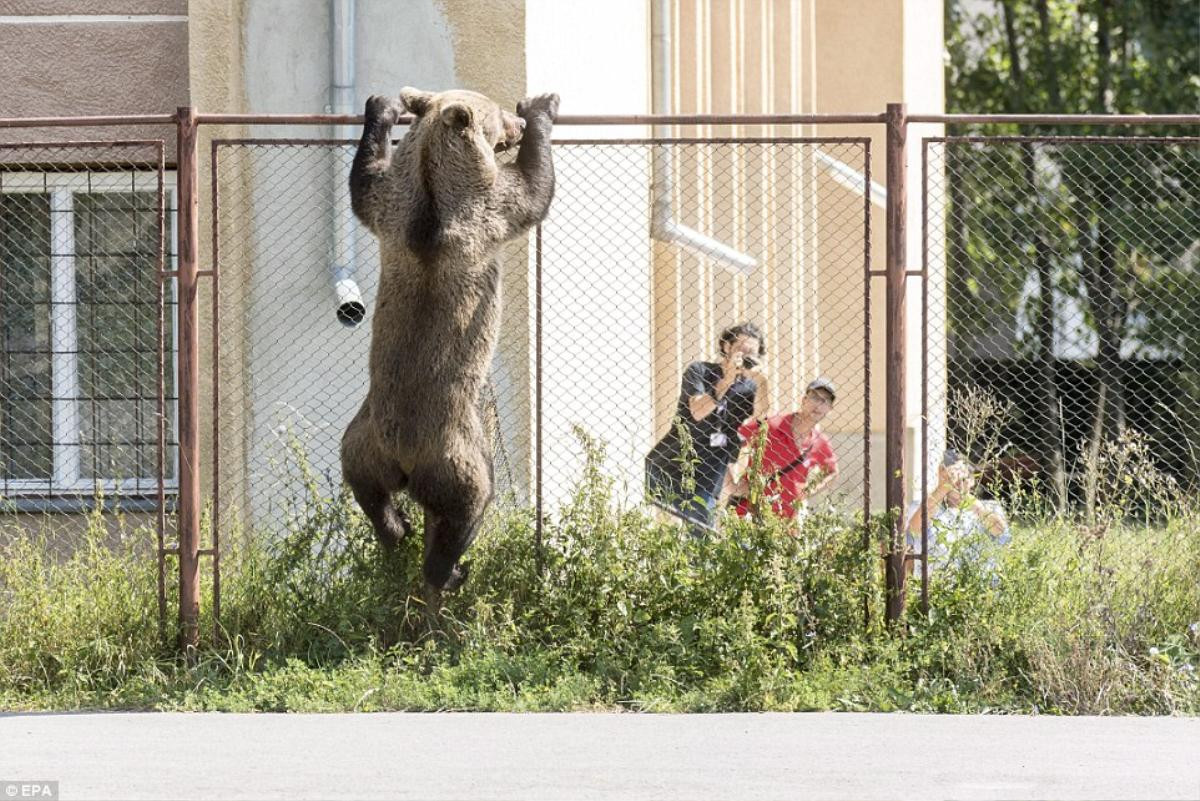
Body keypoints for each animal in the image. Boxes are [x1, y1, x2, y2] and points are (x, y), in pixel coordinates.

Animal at [340, 87, 559, 592]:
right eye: (498, 116)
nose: (516, 124)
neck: (432, 188)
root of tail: (403, 456)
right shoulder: (487, 211)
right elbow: (532, 190)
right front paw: (541, 108)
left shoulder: (393, 210)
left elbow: (364, 182)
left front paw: (381, 107)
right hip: (457, 449)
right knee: (469, 504)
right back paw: (449, 569)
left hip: (363, 435)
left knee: (364, 486)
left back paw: (396, 527)